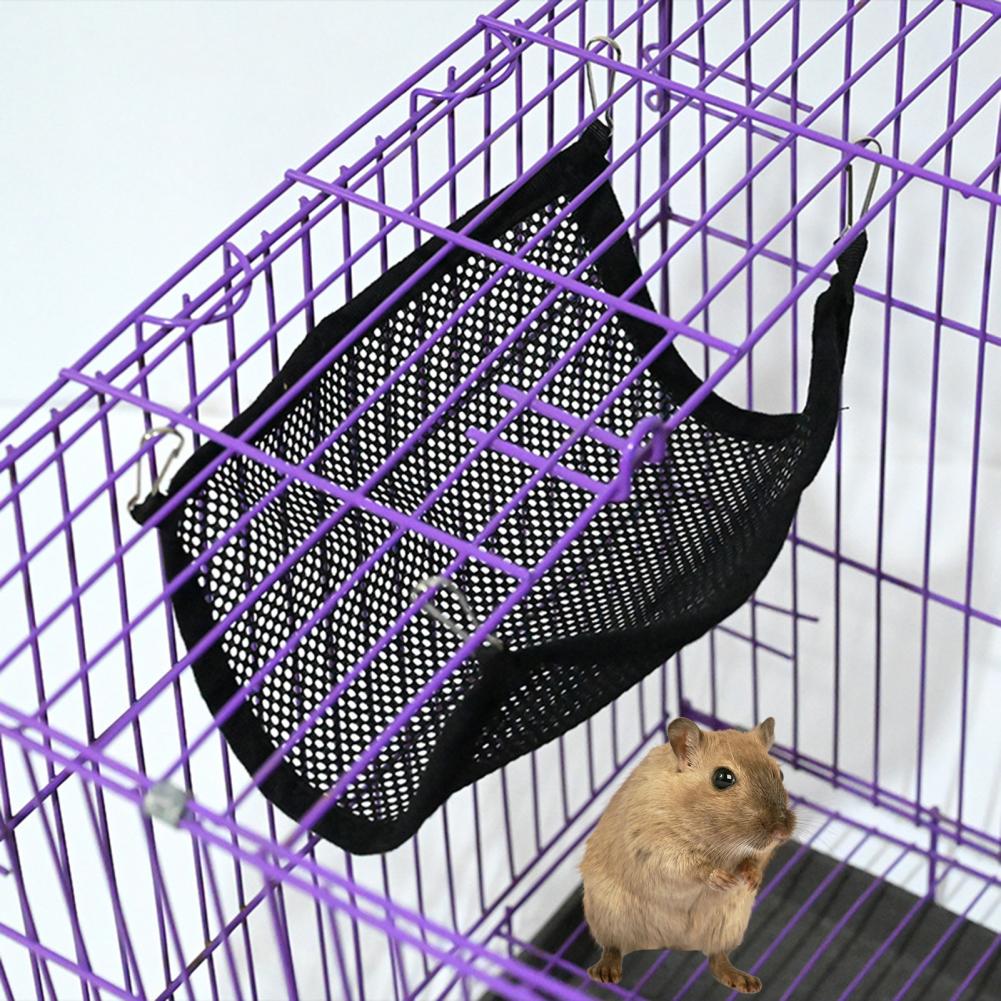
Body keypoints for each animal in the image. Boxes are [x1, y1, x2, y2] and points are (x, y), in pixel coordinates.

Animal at [580, 716, 794, 994]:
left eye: (780, 773)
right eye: (723, 778)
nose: (782, 832)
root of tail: (672, 945)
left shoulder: (762, 851)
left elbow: (756, 860)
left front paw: (750, 880)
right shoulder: (656, 844)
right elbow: (691, 866)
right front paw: (724, 879)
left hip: (728, 925)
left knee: (716, 958)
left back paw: (745, 982)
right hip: (607, 916)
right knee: (613, 948)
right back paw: (604, 973)